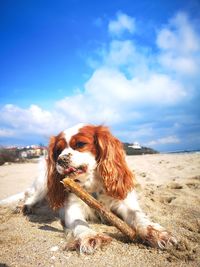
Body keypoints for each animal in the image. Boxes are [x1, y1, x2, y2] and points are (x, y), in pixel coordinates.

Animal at [23, 124, 177, 254]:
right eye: (58, 150)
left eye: (80, 144)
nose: (60, 160)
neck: (93, 186)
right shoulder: (72, 207)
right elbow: (78, 222)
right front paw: (89, 236)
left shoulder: (124, 204)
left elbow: (138, 216)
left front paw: (156, 233)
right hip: (43, 184)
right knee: (31, 195)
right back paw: (26, 207)